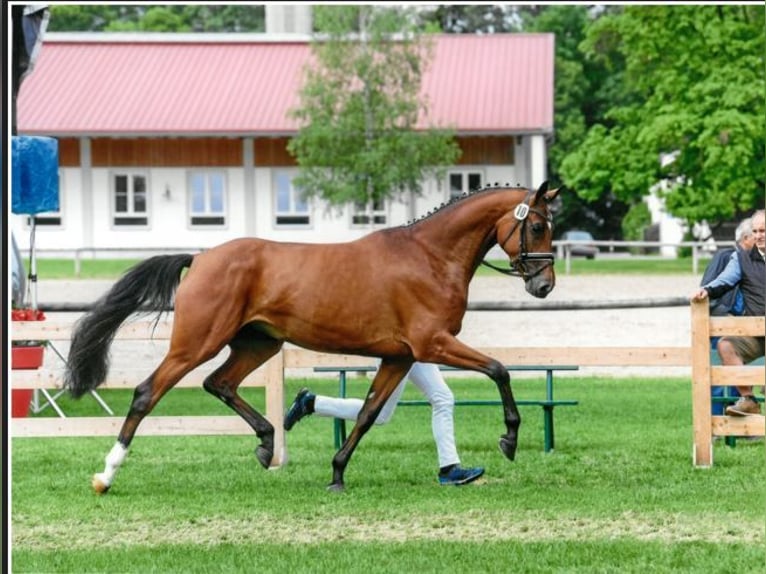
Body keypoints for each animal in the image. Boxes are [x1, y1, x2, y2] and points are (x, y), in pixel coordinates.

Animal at [64, 181, 564, 496]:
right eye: (538, 226)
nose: (544, 286)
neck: (429, 257)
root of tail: (201, 258)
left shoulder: (399, 358)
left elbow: (366, 414)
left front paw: (337, 474)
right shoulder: (432, 345)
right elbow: (499, 370)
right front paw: (509, 440)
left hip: (258, 343)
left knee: (219, 383)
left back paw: (267, 443)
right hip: (196, 343)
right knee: (147, 392)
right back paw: (106, 476)